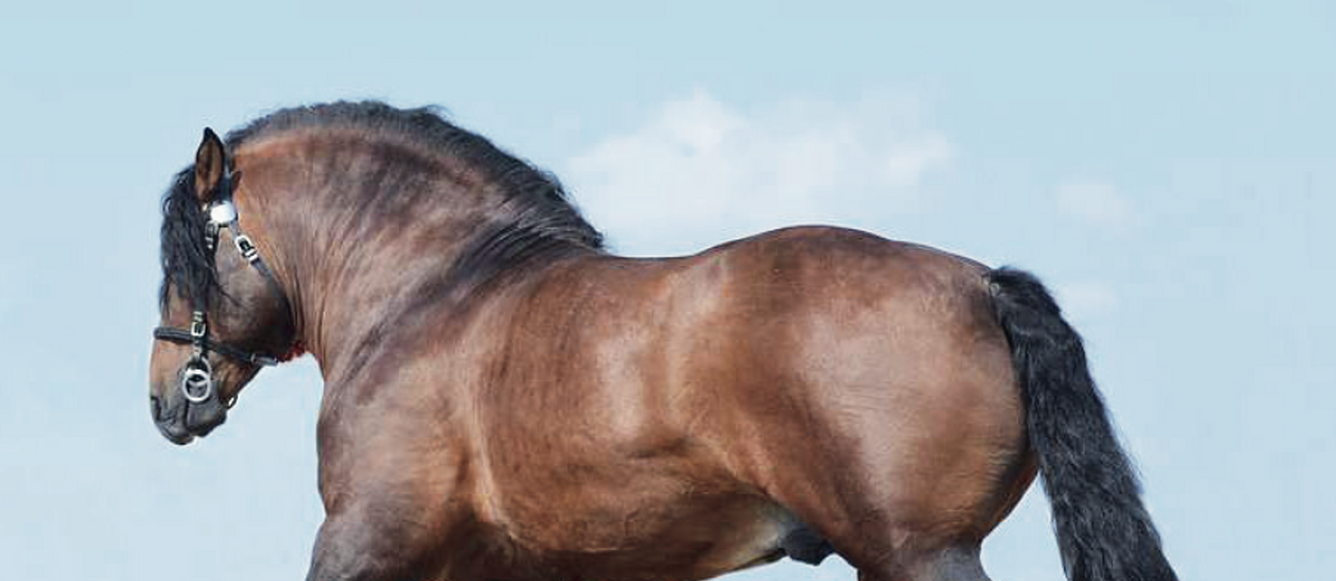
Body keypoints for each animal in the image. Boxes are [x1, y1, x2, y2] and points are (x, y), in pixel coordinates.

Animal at [148, 102, 1176, 581]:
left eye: (183, 254)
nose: (168, 397)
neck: (437, 290)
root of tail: (981, 283)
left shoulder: (366, 538)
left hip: (920, 552)